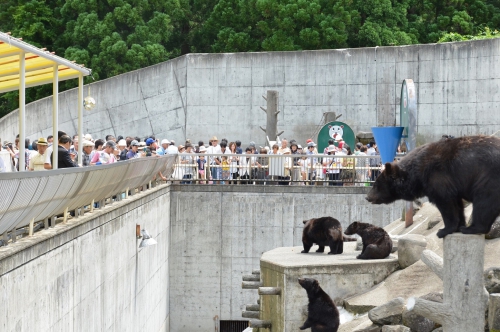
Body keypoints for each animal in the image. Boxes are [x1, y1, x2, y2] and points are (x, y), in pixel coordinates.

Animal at [366, 136, 500, 239]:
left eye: (376, 185)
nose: (367, 197)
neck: (417, 175)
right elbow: (457, 203)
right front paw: (457, 226)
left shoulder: (437, 176)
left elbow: (446, 202)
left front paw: (443, 230)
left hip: (488, 177)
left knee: (483, 202)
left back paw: (471, 228)